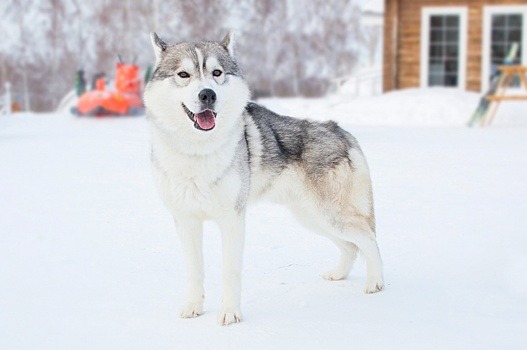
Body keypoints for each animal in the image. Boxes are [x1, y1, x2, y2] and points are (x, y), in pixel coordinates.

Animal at [143, 32, 384, 326]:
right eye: (183, 74)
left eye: (216, 73)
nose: (207, 94)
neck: (197, 151)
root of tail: (340, 130)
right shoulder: (186, 221)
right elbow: (194, 271)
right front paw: (193, 307)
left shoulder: (232, 220)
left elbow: (230, 272)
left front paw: (230, 314)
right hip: (313, 218)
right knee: (350, 247)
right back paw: (339, 274)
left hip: (331, 216)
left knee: (369, 239)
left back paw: (376, 282)